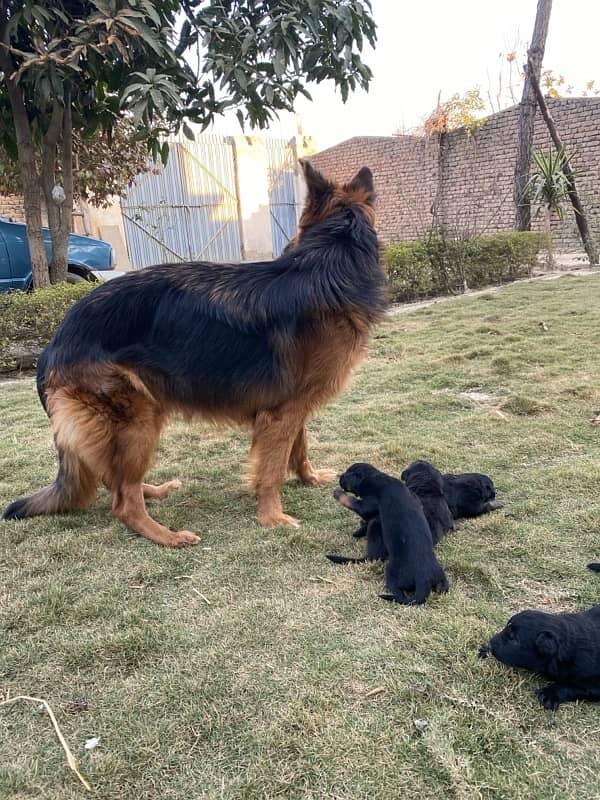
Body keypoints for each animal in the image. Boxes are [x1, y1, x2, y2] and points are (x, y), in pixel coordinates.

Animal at [2, 162, 386, 552]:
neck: (331, 259)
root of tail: (55, 342)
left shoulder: (294, 407)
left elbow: (300, 447)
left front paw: (309, 478)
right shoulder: (282, 413)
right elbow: (272, 468)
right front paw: (272, 517)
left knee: (115, 480)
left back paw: (153, 491)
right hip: (138, 421)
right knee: (123, 501)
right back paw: (167, 536)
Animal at [326, 462, 448, 608]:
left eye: (347, 474)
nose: (340, 477)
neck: (374, 478)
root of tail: (423, 579)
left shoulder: (368, 503)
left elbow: (353, 502)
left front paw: (338, 493)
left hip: (392, 571)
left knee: (399, 593)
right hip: (440, 575)